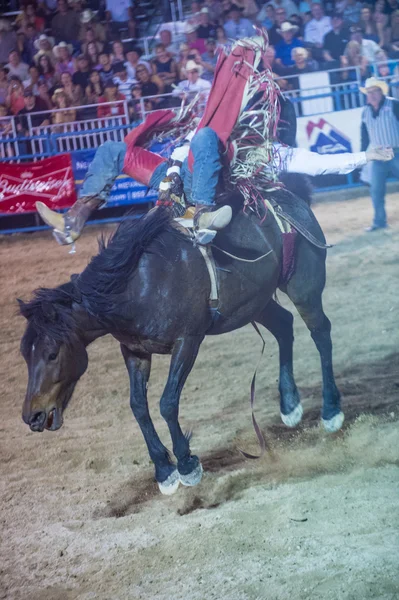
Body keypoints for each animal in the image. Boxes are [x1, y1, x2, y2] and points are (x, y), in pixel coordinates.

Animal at [18, 183, 344, 492]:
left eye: (52, 353)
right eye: (25, 354)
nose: (32, 416)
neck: (137, 285)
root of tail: (288, 197)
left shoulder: (188, 341)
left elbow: (167, 402)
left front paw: (187, 464)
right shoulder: (134, 351)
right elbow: (138, 406)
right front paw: (164, 470)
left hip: (304, 289)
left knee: (321, 333)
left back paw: (331, 411)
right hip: (256, 303)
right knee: (284, 326)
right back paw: (289, 405)